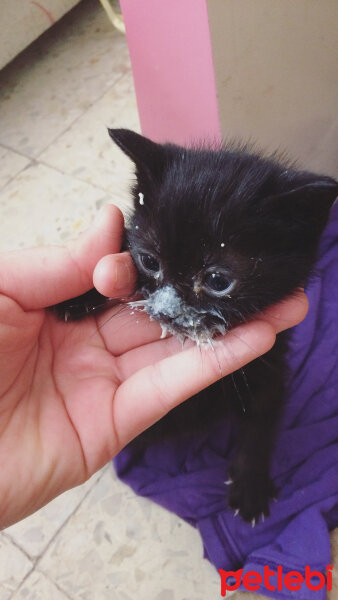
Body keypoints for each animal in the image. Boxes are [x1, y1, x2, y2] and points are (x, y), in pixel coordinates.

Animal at [49, 129, 336, 524]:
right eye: (149, 261)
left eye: (217, 281)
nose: (166, 312)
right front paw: (74, 296)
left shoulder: (271, 361)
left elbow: (261, 420)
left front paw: (250, 484)